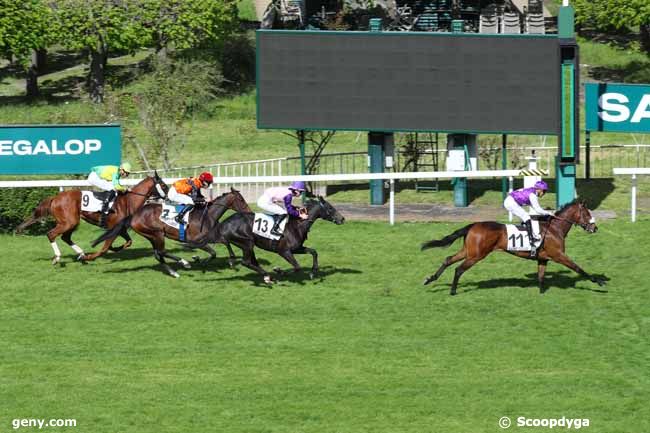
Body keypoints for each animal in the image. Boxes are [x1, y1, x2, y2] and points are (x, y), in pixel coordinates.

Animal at [16, 172, 168, 264]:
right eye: (164, 185)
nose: (168, 197)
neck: (129, 201)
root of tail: (55, 198)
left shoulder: (120, 228)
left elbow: (128, 242)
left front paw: (115, 248)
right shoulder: (115, 228)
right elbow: (105, 247)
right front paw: (93, 256)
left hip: (72, 222)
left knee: (65, 237)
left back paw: (81, 254)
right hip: (69, 222)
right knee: (51, 234)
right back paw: (59, 257)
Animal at [90, 188, 251, 276]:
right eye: (242, 200)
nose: (250, 212)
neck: (208, 215)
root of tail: (135, 215)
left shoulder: (211, 237)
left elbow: (224, 242)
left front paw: (230, 260)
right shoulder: (196, 240)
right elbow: (213, 252)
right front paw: (197, 259)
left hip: (151, 236)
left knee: (158, 254)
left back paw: (173, 272)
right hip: (157, 233)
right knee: (161, 252)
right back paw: (183, 263)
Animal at [211, 195, 344, 284]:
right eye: (330, 208)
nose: (342, 219)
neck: (297, 225)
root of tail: (224, 223)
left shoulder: (296, 248)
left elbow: (313, 252)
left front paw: (313, 271)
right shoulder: (284, 251)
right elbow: (297, 267)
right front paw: (279, 271)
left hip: (247, 245)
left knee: (252, 262)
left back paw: (267, 276)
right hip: (246, 242)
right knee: (246, 262)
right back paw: (268, 276)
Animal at [420, 198, 604, 294]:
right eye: (587, 213)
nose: (595, 228)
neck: (554, 228)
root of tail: (473, 225)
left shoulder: (543, 259)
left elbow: (541, 276)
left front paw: (541, 293)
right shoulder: (559, 255)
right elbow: (579, 268)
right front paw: (599, 282)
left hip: (468, 250)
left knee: (448, 259)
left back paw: (430, 279)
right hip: (477, 255)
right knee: (458, 269)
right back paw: (452, 291)